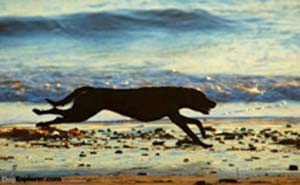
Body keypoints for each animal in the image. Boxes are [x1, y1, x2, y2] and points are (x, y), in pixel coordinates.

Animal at [33, 86, 216, 147]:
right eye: (204, 97)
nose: (214, 103)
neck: (178, 94)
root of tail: (90, 89)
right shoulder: (175, 117)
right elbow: (192, 130)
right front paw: (203, 143)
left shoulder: (175, 115)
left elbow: (196, 121)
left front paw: (204, 134)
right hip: (83, 112)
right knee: (61, 116)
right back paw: (42, 120)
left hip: (82, 110)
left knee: (60, 113)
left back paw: (40, 116)